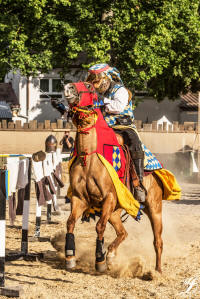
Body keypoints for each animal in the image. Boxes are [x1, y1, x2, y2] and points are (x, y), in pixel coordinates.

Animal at [61, 82, 163, 274]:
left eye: (88, 86)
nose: (67, 87)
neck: (89, 158)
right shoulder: (79, 198)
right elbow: (70, 222)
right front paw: (70, 257)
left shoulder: (108, 197)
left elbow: (99, 226)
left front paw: (99, 260)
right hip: (115, 212)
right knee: (123, 233)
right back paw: (111, 254)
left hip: (154, 209)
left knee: (157, 241)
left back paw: (157, 270)